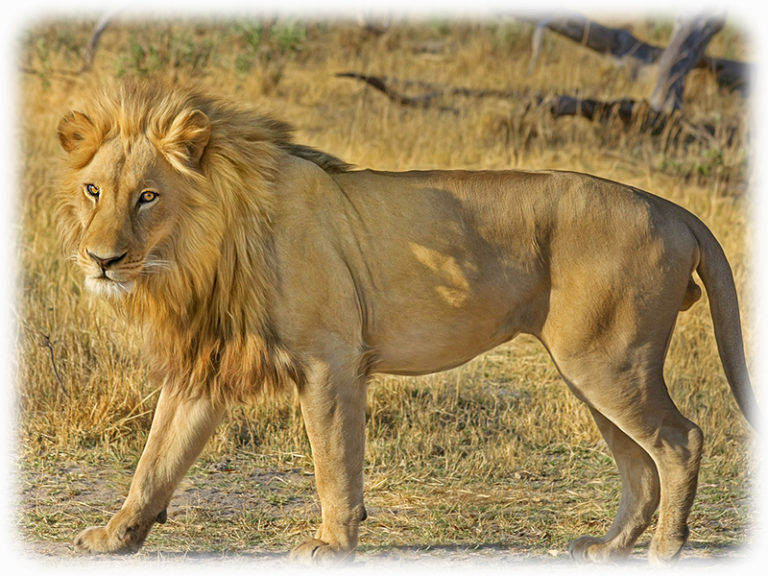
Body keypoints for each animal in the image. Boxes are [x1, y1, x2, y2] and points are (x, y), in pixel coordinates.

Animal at [56, 81, 757, 564]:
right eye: (94, 190)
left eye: (148, 196)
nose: (102, 259)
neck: (199, 251)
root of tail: (671, 207)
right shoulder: (205, 366)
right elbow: (156, 460)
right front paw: (115, 536)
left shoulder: (330, 360)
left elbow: (334, 463)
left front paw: (332, 545)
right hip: (590, 369)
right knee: (640, 465)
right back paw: (610, 550)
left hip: (607, 361)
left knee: (681, 440)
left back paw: (666, 549)